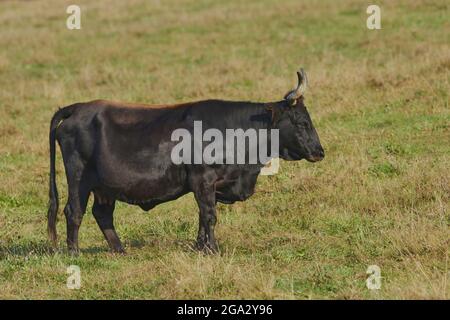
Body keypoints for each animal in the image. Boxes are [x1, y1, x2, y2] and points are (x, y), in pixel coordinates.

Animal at [48, 96, 324, 254]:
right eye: (301, 123)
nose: (319, 151)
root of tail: (78, 108)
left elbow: (203, 216)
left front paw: (200, 247)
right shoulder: (203, 179)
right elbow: (209, 215)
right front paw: (212, 249)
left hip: (104, 187)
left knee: (102, 214)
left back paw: (120, 250)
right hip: (79, 177)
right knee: (74, 212)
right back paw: (74, 253)